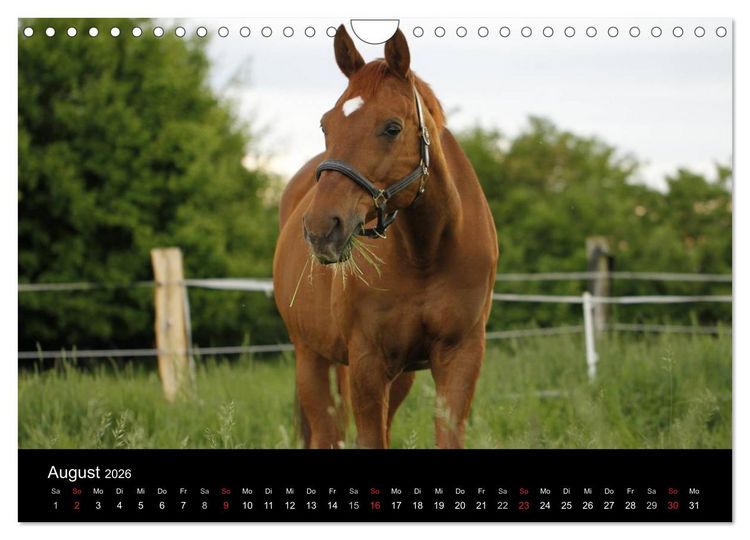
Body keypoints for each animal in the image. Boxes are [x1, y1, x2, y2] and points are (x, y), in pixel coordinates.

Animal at [272, 25, 498, 449]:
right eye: (326, 125)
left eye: (392, 127)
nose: (321, 229)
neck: (425, 254)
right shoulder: (367, 363)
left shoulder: (460, 357)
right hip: (311, 359)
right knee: (326, 434)